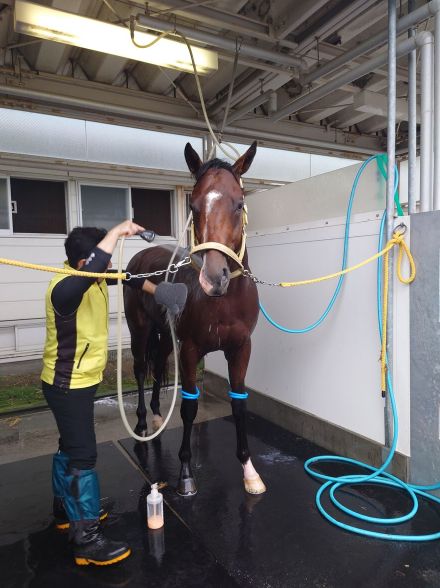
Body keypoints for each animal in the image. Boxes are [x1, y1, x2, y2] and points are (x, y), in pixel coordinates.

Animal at [124, 142, 264, 496]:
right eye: (193, 204)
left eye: (239, 203)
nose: (214, 278)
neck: (222, 301)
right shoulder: (189, 350)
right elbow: (189, 407)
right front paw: (185, 474)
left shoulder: (241, 349)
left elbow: (239, 403)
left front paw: (249, 471)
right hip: (139, 331)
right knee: (141, 370)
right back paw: (143, 423)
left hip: (164, 335)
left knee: (158, 364)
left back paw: (157, 418)